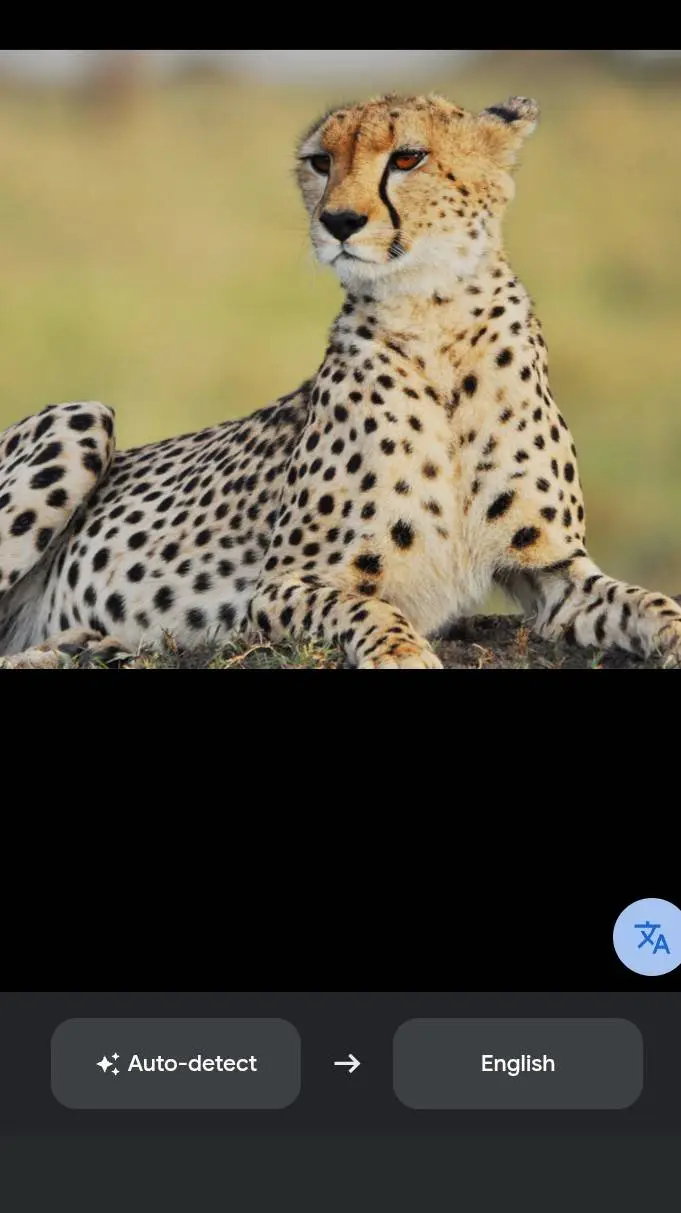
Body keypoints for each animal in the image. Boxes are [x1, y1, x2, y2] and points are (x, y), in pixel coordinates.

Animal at [1, 91, 680, 669]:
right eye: (320, 162)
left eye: (407, 157)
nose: (340, 221)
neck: (435, 320)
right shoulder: (280, 585)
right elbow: (364, 606)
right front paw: (402, 652)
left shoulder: (553, 568)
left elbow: (646, 600)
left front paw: (668, 627)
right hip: (81, 415)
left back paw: (80, 643)